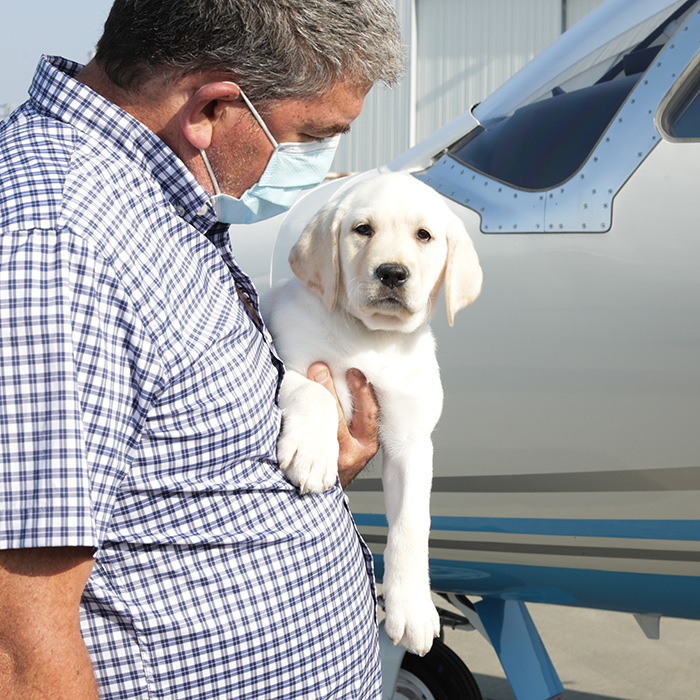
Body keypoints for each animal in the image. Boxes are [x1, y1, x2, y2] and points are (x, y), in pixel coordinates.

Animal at [262, 171, 482, 656]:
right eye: (362, 230)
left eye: (424, 235)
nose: (392, 273)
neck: (371, 338)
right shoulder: (287, 362)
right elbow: (315, 391)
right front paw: (313, 454)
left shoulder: (412, 440)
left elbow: (413, 524)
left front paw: (413, 609)